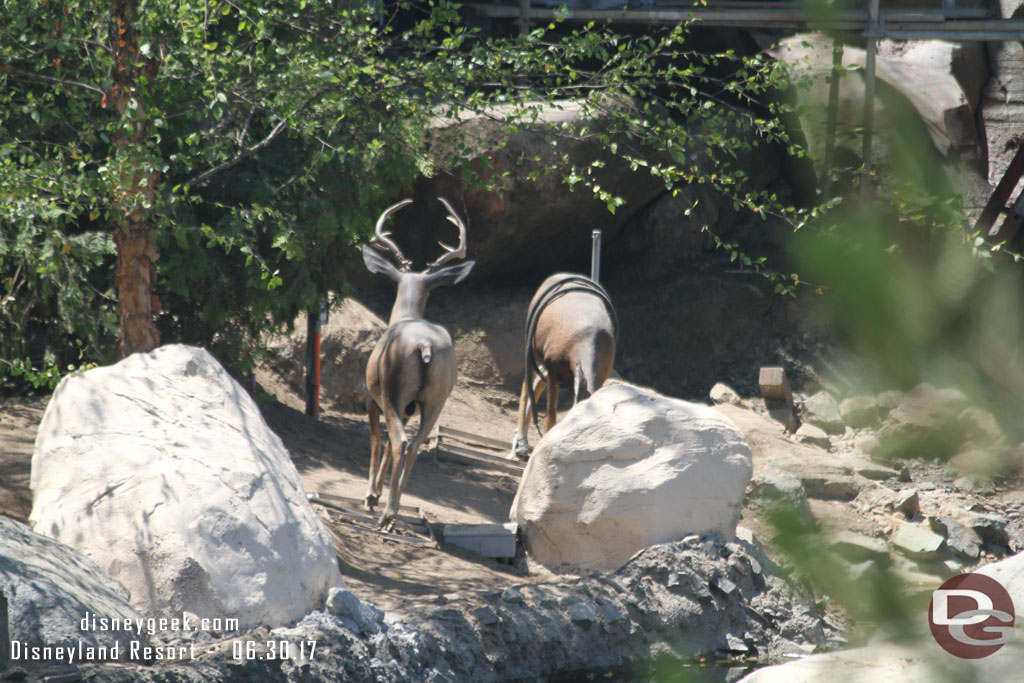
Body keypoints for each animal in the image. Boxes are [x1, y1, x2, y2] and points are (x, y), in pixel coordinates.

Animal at [362, 197, 473, 528]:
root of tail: (425, 345)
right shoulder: (409, 408)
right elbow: (387, 444)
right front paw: (378, 495)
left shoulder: (371, 396)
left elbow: (377, 441)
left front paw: (370, 496)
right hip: (437, 398)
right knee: (413, 446)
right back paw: (394, 509)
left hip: (392, 389)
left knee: (400, 442)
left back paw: (387, 514)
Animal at [509, 272, 614, 458]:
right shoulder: (553, 369)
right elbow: (550, 416)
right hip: (533, 352)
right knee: (527, 387)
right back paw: (521, 443)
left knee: (537, 383)